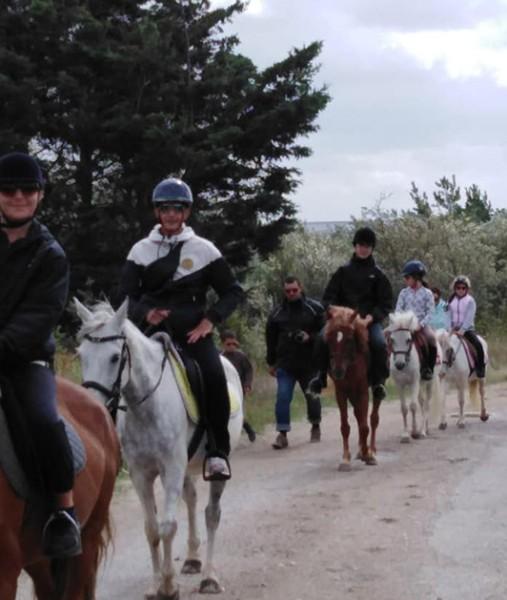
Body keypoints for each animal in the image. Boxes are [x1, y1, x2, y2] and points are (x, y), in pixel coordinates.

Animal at [73, 300, 244, 600]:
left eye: (115, 358)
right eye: (82, 355)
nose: (92, 406)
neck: (146, 406)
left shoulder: (171, 468)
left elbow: (167, 527)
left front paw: (168, 586)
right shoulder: (141, 474)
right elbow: (152, 529)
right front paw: (156, 586)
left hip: (215, 467)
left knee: (212, 514)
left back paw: (209, 577)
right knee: (191, 499)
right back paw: (192, 559)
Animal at [326, 308, 380, 472]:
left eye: (349, 339)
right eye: (330, 338)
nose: (337, 371)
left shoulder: (363, 391)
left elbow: (364, 426)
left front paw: (368, 456)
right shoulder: (341, 393)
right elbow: (345, 426)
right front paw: (345, 459)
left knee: (373, 418)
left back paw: (371, 450)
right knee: (358, 414)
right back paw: (361, 449)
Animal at [388, 312, 440, 442]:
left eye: (408, 340)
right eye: (392, 339)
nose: (399, 364)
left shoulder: (414, 383)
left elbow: (412, 406)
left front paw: (415, 432)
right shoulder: (399, 385)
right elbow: (404, 408)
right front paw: (405, 435)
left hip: (430, 382)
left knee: (426, 404)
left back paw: (422, 431)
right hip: (421, 384)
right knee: (422, 402)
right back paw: (425, 429)